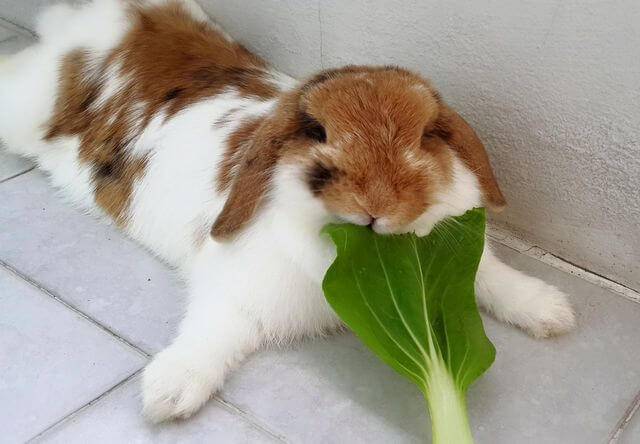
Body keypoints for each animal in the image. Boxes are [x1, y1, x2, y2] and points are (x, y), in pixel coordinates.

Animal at [0, 0, 575, 422]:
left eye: (427, 135)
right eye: (317, 132)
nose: (376, 206)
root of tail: (93, 22)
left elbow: (494, 278)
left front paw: (551, 311)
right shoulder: (234, 291)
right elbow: (211, 332)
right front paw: (169, 392)